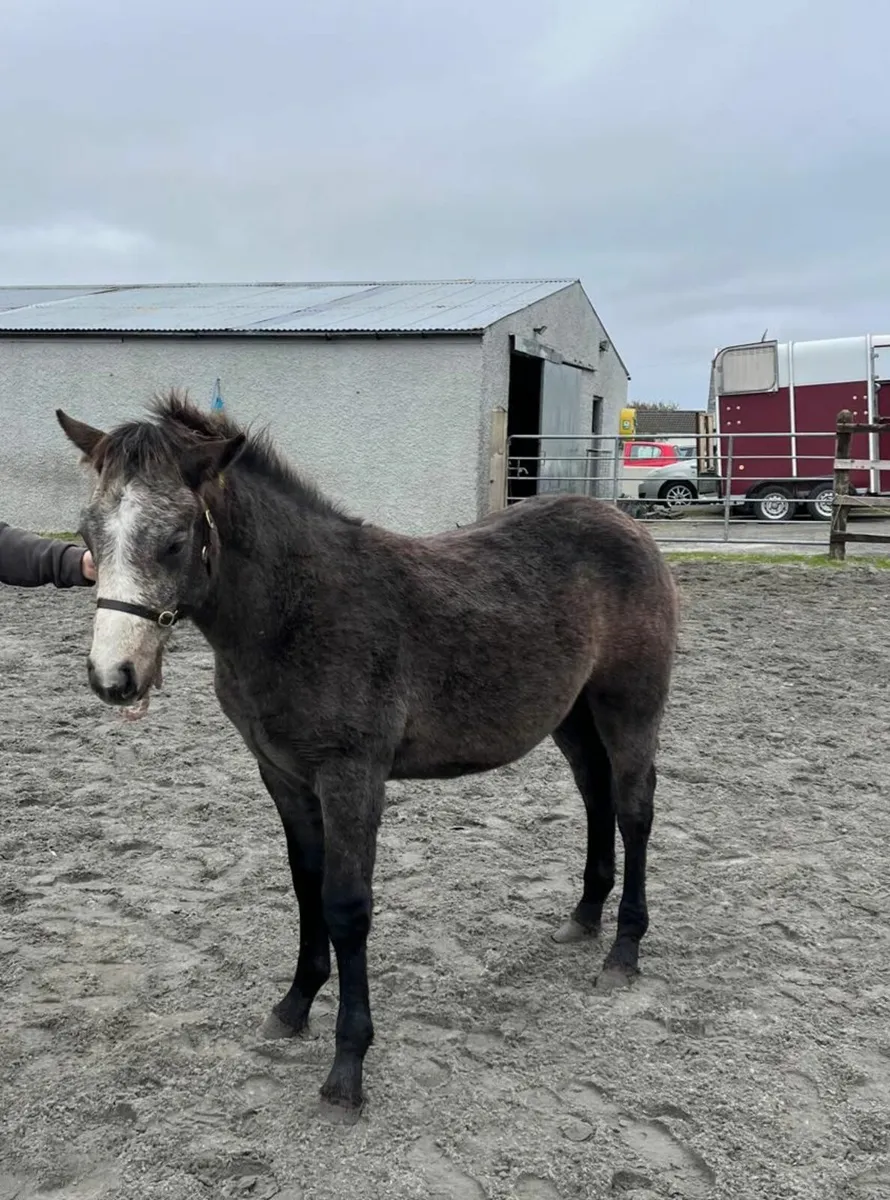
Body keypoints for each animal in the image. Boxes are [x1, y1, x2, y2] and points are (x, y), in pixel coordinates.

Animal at [56, 391, 679, 1115]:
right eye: (89, 534)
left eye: (176, 539)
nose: (114, 677)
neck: (295, 611)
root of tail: (623, 521)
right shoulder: (283, 775)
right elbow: (307, 887)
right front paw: (294, 1005)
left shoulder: (352, 775)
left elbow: (348, 906)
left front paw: (347, 1065)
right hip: (573, 717)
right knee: (595, 797)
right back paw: (583, 918)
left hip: (629, 705)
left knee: (634, 809)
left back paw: (623, 952)